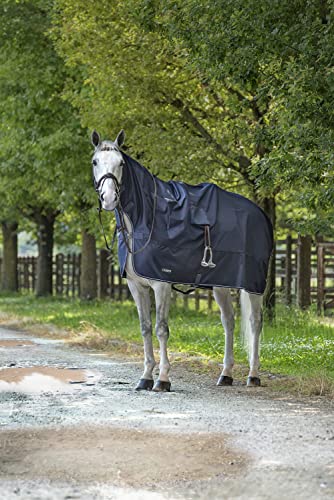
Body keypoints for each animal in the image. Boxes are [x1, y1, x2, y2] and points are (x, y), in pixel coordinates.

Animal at [90, 131, 264, 392]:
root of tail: (260, 214)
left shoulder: (161, 284)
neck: (142, 220)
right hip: (221, 286)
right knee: (229, 321)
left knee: (254, 323)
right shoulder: (136, 286)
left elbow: (161, 329)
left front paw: (162, 379)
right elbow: (145, 327)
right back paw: (226, 374)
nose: (109, 198)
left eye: (121, 163)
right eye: (95, 162)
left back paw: (253, 375)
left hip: (253, 284)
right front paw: (145, 377)